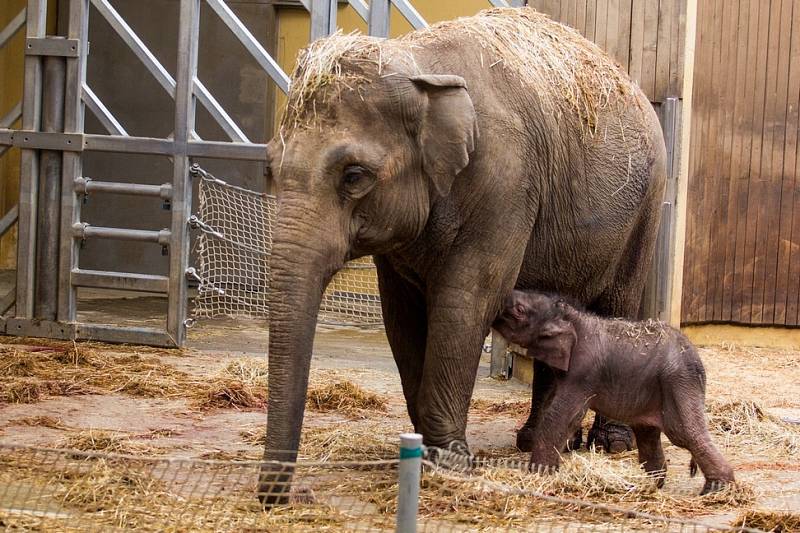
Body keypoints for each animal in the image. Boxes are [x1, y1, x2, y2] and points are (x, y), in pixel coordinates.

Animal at [260, 6, 664, 500]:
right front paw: (420, 451)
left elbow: (465, 303)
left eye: (354, 176)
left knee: (618, 306)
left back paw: (610, 445)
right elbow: (402, 317)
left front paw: (450, 460)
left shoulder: (506, 182)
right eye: (270, 168)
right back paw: (541, 441)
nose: (293, 495)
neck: (420, 65)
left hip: (646, 209)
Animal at [494, 288, 736, 492]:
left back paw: (716, 491)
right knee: (648, 434)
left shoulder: (583, 373)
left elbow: (561, 417)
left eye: (519, 310)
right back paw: (649, 486)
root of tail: (696, 359)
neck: (573, 316)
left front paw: (538, 477)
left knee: (685, 434)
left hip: (679, 383)